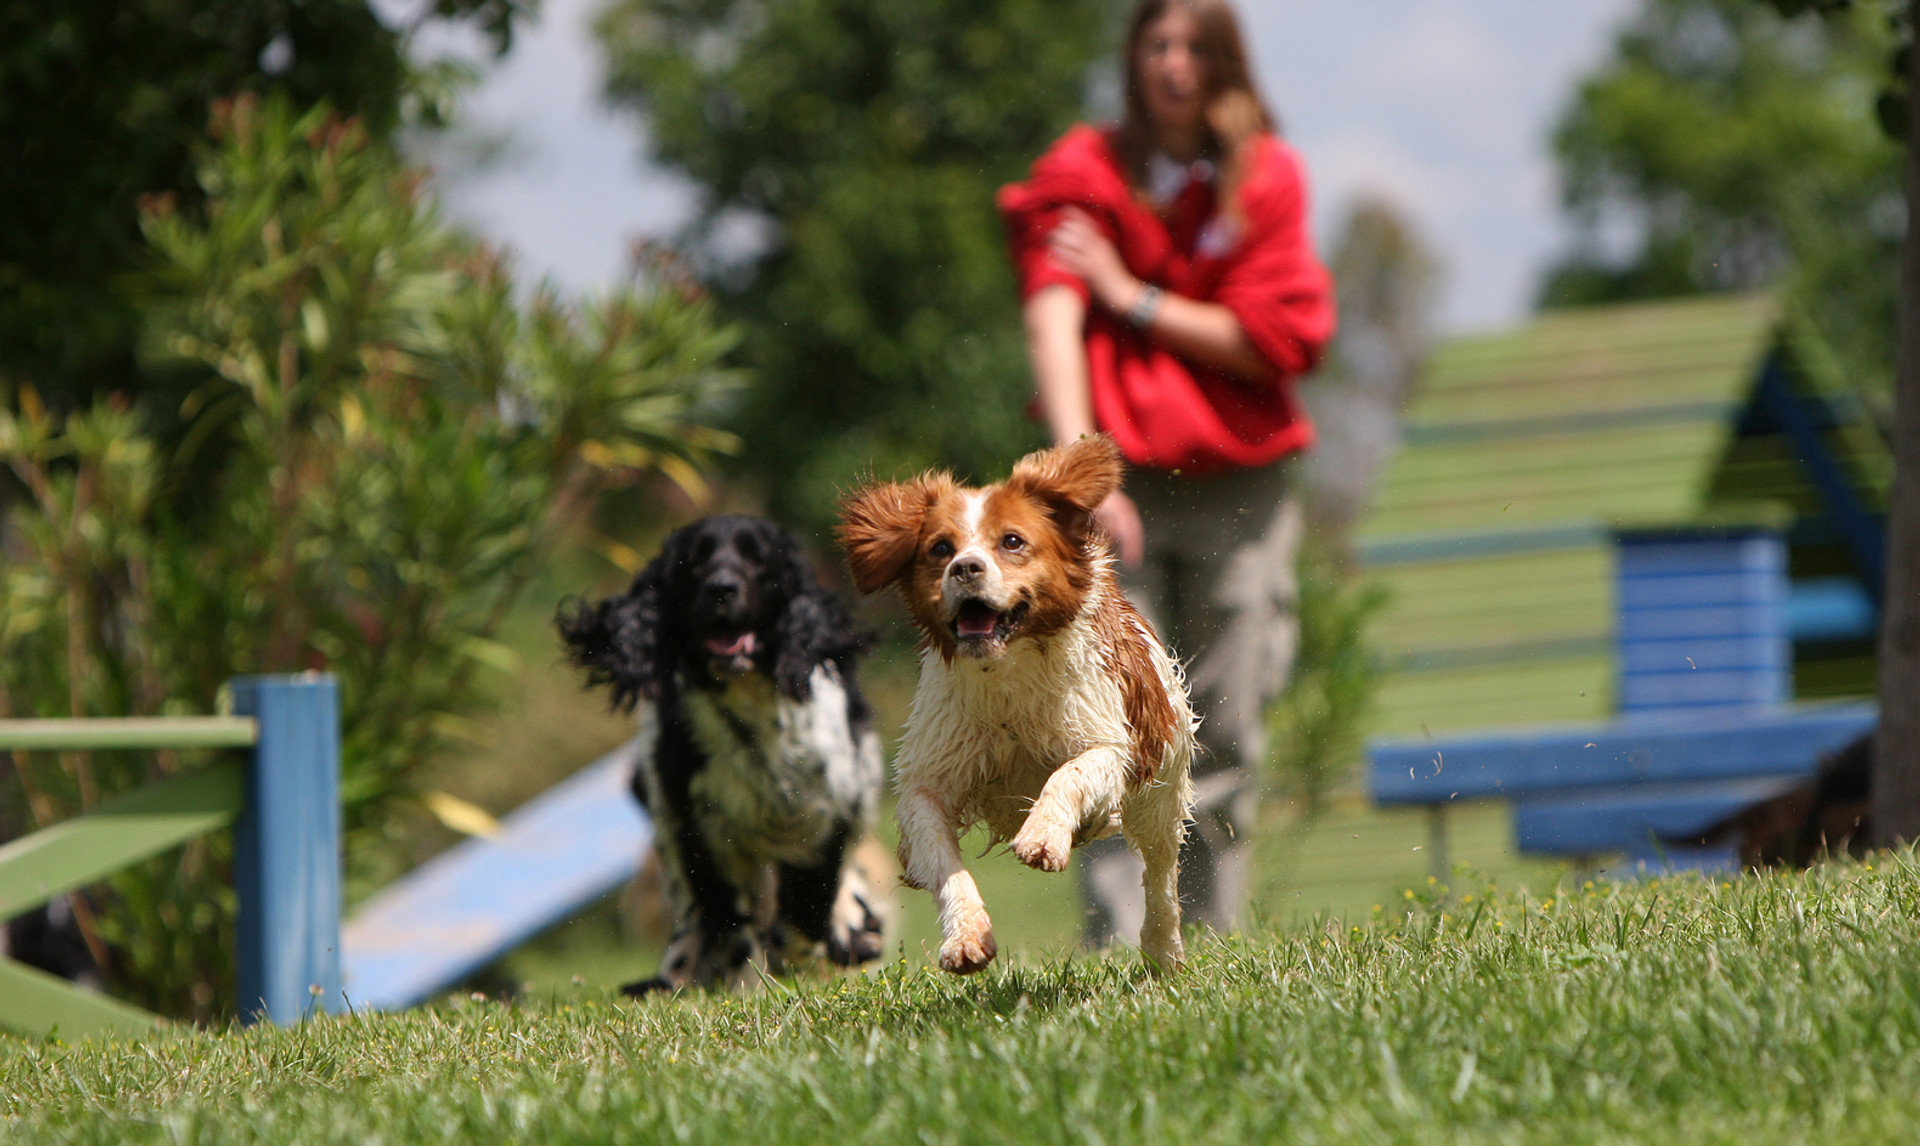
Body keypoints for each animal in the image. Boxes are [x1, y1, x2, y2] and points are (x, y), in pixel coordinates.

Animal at [556, 514, 883, 990]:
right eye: (692, 562)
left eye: (758, 559)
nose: (722, 588)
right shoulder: (702, 831)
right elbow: (728, 920)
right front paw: (743, 982)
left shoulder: (822, 817)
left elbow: (809, 907)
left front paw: (808, 946)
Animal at [837, 433, 1190, 971]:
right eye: (940, 548)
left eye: (1012, 541)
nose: (965, 567)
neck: (1006, 677)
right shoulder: (930, 778)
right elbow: (941, 857)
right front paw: (965, 935)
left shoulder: (1110, 745)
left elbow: (1070, 773)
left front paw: (1042, 835)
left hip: (1162, 789)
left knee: (1160, 873)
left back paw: (1163, 951)